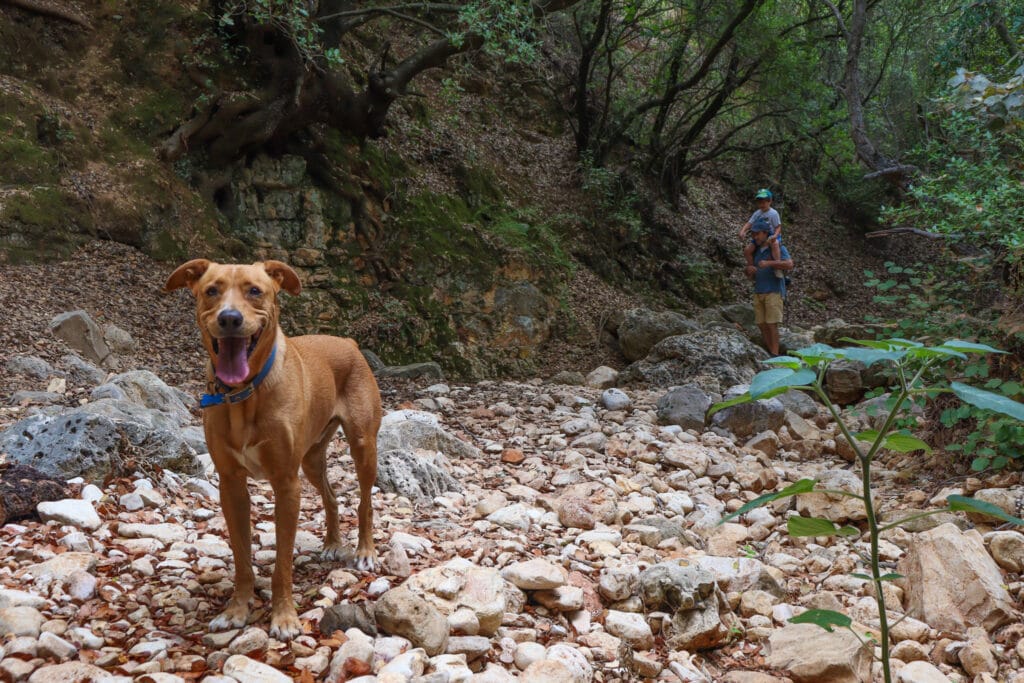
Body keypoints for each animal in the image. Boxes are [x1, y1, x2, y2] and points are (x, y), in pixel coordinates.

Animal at [163, 259, 380, 638]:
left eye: (255, 291)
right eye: (211, 290)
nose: (229, 319)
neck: (244, 394)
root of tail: (349, 342)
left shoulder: (286, 484)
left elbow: (282, 563)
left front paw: (284, 617)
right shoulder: (231, 484)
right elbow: (241, 557)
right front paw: (236, 609)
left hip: (363, 445)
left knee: (365, 501)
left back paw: (364, 550)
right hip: (311, 460)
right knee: (332, 497)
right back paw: (332, 543)